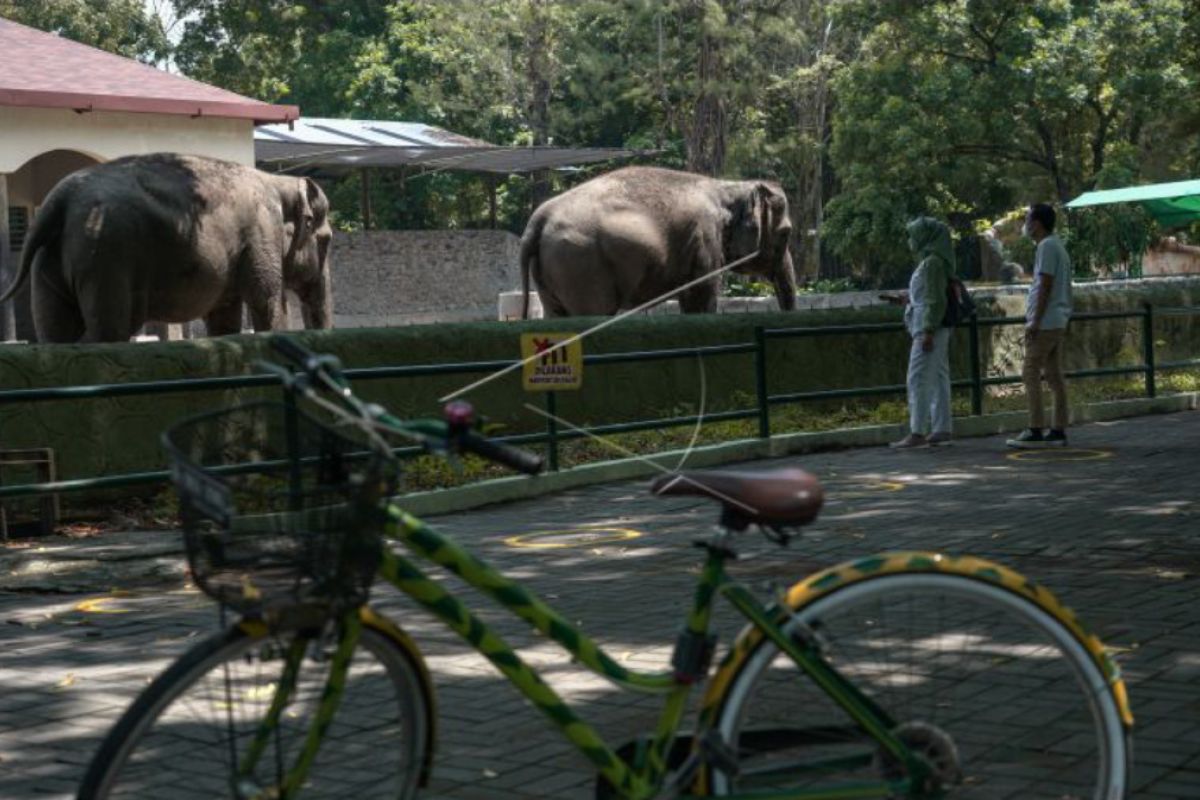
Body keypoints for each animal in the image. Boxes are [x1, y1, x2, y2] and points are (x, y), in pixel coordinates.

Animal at [0, 153, 333, 345]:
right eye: (327, 240)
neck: (278, 180)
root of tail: (61, 196)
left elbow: (223, 317)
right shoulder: (261, 233)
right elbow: (267, 302)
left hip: (51, 259)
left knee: (55, 331)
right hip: (105, 257)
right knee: (109, 329)